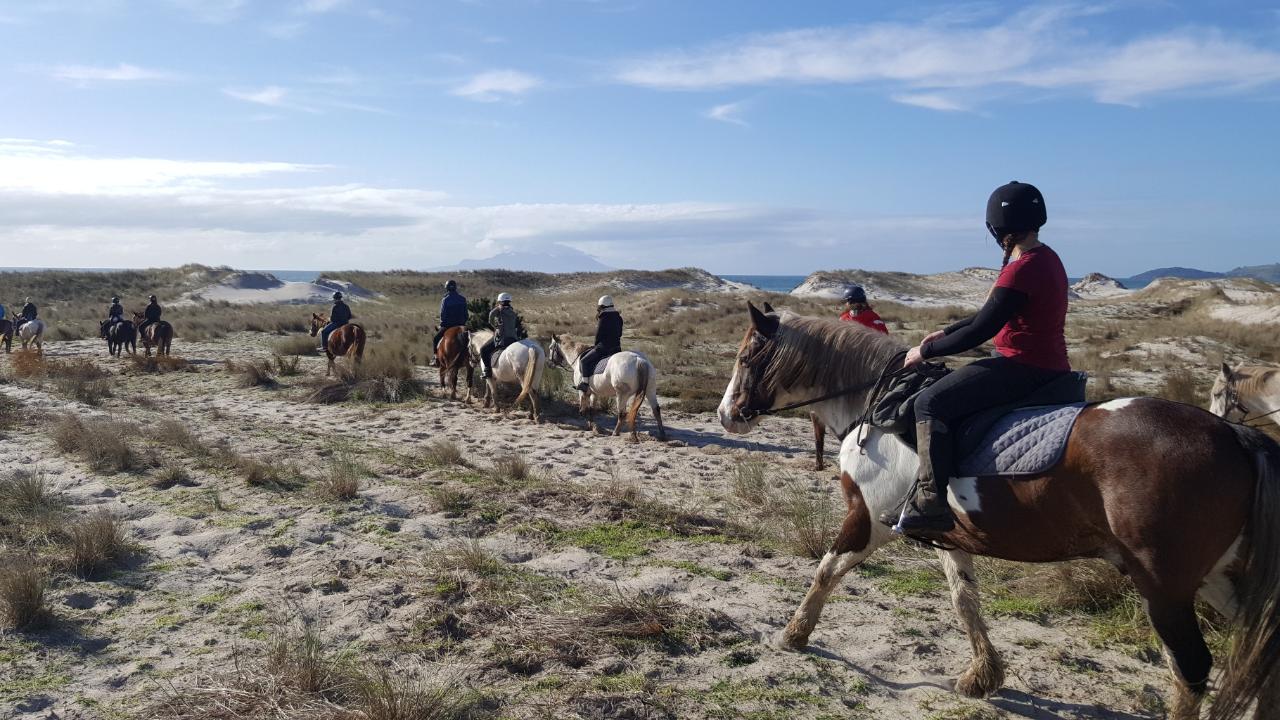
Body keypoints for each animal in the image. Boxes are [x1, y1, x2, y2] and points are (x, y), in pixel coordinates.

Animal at [721, 302, 1280, 717]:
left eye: (748, 357)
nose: (727, 415)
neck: (881, 405)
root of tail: (1234, 435)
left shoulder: (866, 520)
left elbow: (826, 570)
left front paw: (794, 635)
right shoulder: (944, 533)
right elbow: (964, 599)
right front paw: (982, 676)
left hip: (1163, 588)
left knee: (1190, 670)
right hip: (1220, 579)